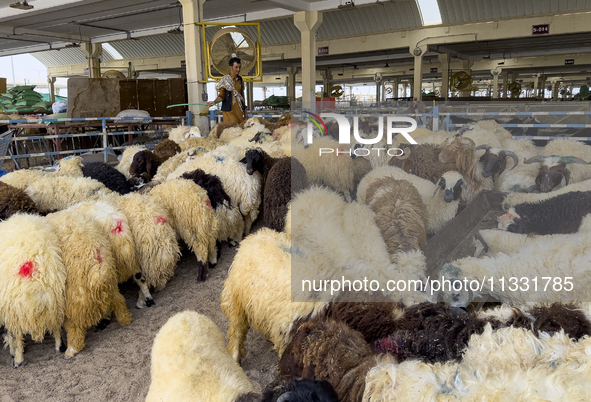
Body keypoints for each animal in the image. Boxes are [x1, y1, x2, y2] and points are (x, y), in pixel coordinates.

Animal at [0, 214, 66, 368]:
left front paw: (13, 351)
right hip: (55, 298)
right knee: (56, 323)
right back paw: (59, 346)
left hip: (14, 306)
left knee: (17, 333)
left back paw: (18, 359)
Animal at [45, 207, 133, 358]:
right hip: (110, 283)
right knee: (119, 300)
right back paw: (125, 319)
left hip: (74, 297)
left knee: (74, 326)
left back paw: (71, 350)